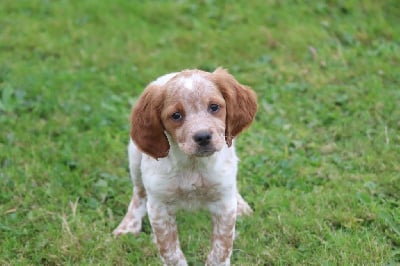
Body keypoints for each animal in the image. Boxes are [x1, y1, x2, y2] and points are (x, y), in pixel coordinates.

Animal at [113, 68, 256, 266]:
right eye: (176, 115)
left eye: (214, 107)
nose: (203, 137)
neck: (192, 165)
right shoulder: (159, 208)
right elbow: (170, 252)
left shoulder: (223, 205)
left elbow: (220, 249)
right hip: (134, 158)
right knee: (139, 193)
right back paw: (128, 226)